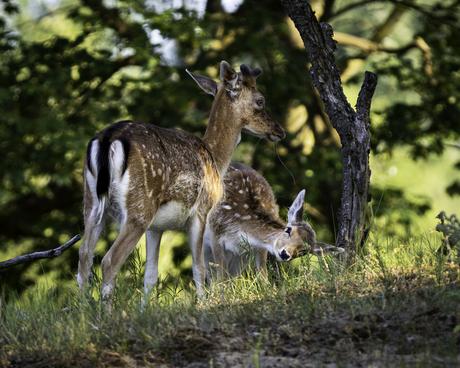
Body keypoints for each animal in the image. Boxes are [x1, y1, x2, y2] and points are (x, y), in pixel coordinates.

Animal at [77, 61, 286, 308]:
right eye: (260, 100)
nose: (280, 130)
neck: (215, 159)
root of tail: (107, 139)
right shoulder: (201, 211)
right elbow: (200, 268)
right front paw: (204, 305)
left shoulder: (156, 227)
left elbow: (151, 275)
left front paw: (145, 311)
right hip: (140, 206)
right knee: (109, 260)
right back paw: (107, 314)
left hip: (91, 202)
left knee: (83, 257)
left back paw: (82, 314)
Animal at [203, 163, 344, 282]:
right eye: (288, 230)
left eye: (304, 251)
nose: (285, 254)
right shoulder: (215, 233)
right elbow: (221, 278)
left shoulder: (254, 248)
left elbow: (262, 277)